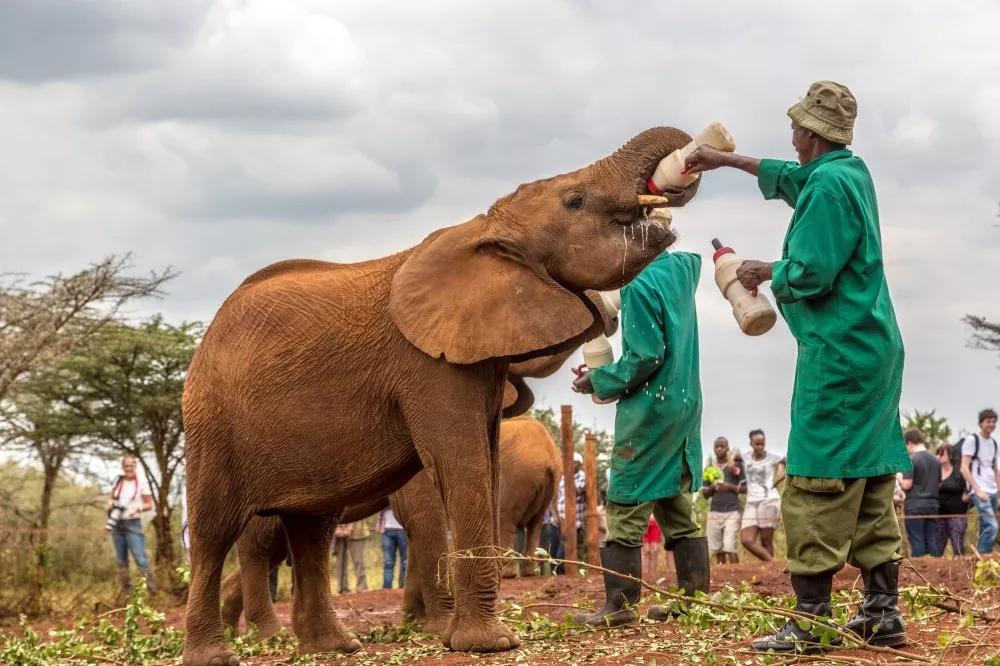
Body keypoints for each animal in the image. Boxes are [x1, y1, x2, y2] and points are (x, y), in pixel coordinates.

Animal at [572, 245, 712, 624]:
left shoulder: (638, 298)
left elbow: (644, 357)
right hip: (675, 462)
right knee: (686, 532)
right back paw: (683, 607)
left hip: (639, 460)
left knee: (625, 521)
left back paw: (613, 612)